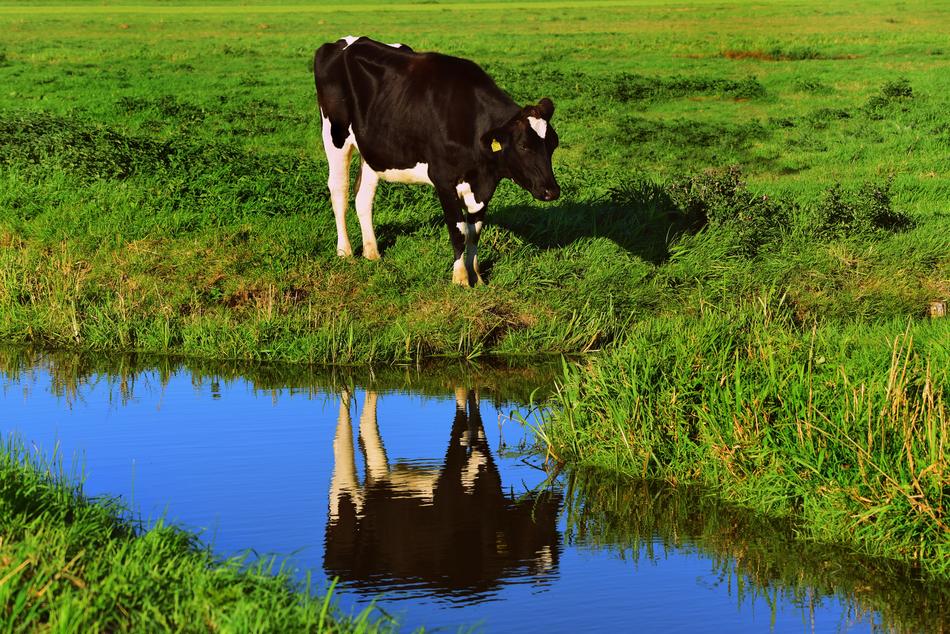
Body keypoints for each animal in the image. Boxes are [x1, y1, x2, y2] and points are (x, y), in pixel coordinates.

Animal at [313, 36, 561, 286]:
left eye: (553, 144)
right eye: (524, 146)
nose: (552, 191)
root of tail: (345, 42)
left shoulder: (484, 185)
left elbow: (475, 231)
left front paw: (477, 277)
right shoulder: (443, 179)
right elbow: (458, 230)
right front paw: (460, 279)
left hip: (373, 149)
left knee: (363, 195)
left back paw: (372, 253)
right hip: (335, 136)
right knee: (339, 190)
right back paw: (345, 252)